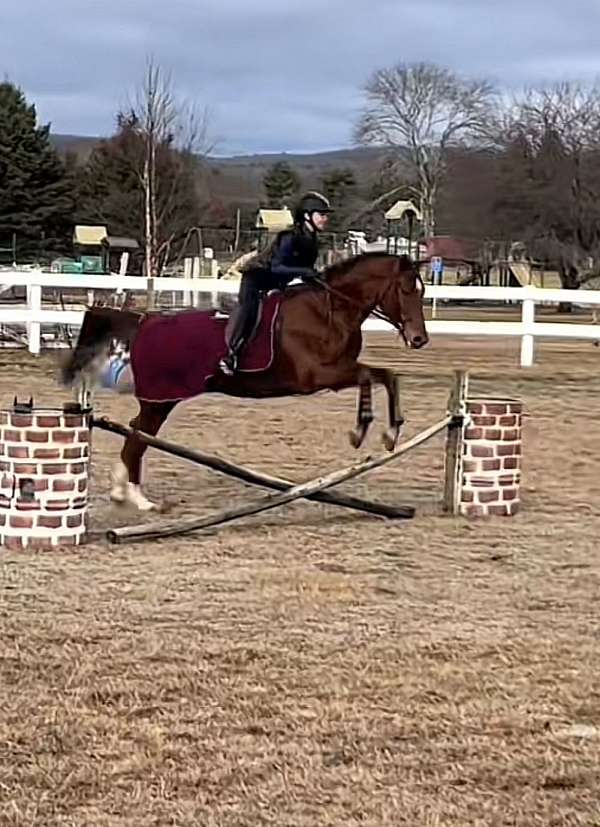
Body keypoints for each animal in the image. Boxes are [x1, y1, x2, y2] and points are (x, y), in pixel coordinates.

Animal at [61, 252, 428, 512]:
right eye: (406, 289)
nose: (419, 339)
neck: (331, 309)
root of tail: (143, 321)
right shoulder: (319, 375)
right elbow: (370, 377)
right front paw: (364, 431)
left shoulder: (339, 371)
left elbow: (387, 376)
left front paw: (389, 433)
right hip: (160, 399)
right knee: (138, 437)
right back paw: (139, 499)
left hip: (160, 401)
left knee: (137, 434)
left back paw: (123, 492)